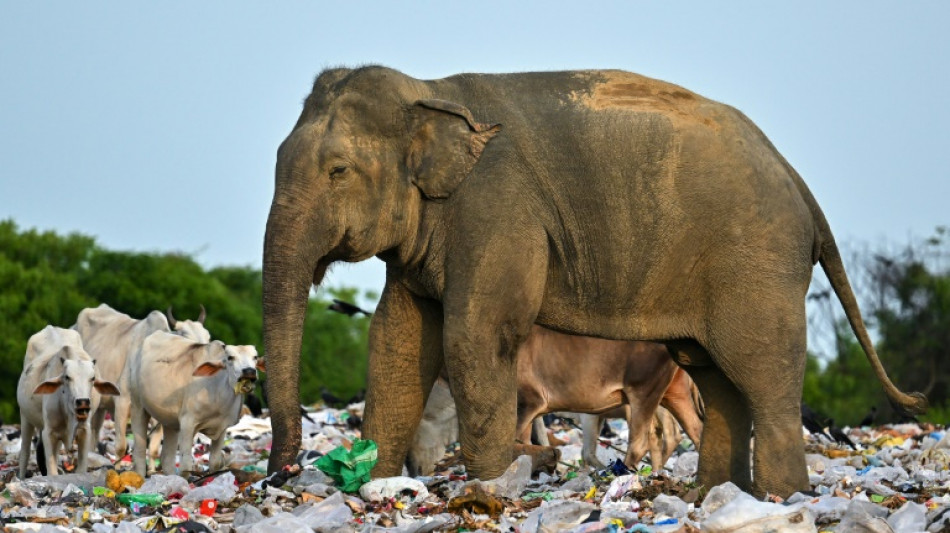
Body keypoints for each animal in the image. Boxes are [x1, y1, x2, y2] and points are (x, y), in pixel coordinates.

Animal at [262, 65, 926, 497]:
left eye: (338, 170)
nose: (281, 477)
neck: (431, 92)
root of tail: (797, 180)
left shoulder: (497, 208)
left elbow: (475, 336)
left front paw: (487, 491)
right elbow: (396, 341)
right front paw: (373, 487)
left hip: (757, 259)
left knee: (760, 372)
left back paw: (779, 501)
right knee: (714, 372)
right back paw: (711, 498)